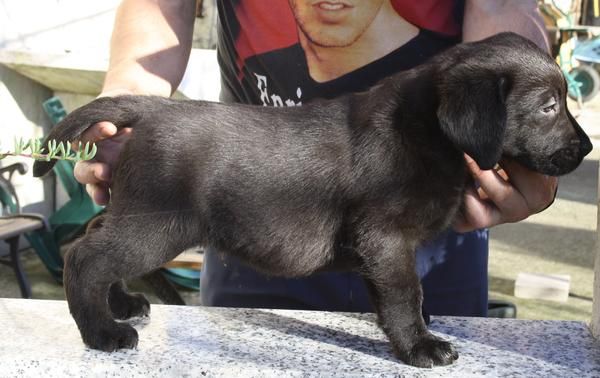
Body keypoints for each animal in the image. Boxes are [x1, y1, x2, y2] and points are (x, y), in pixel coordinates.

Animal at [32, 32, 592, 366]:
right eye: (548, 106)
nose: (586, 148)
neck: (426, 131)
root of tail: (150, 110)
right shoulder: (384, 238)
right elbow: (403, 291)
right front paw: (418, 344)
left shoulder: (378, 248)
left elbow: (390, 294)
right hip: (158, 223)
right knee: (84, 256)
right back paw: (102, 332)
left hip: (137, 209)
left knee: (93, 235)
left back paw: (122, 304)